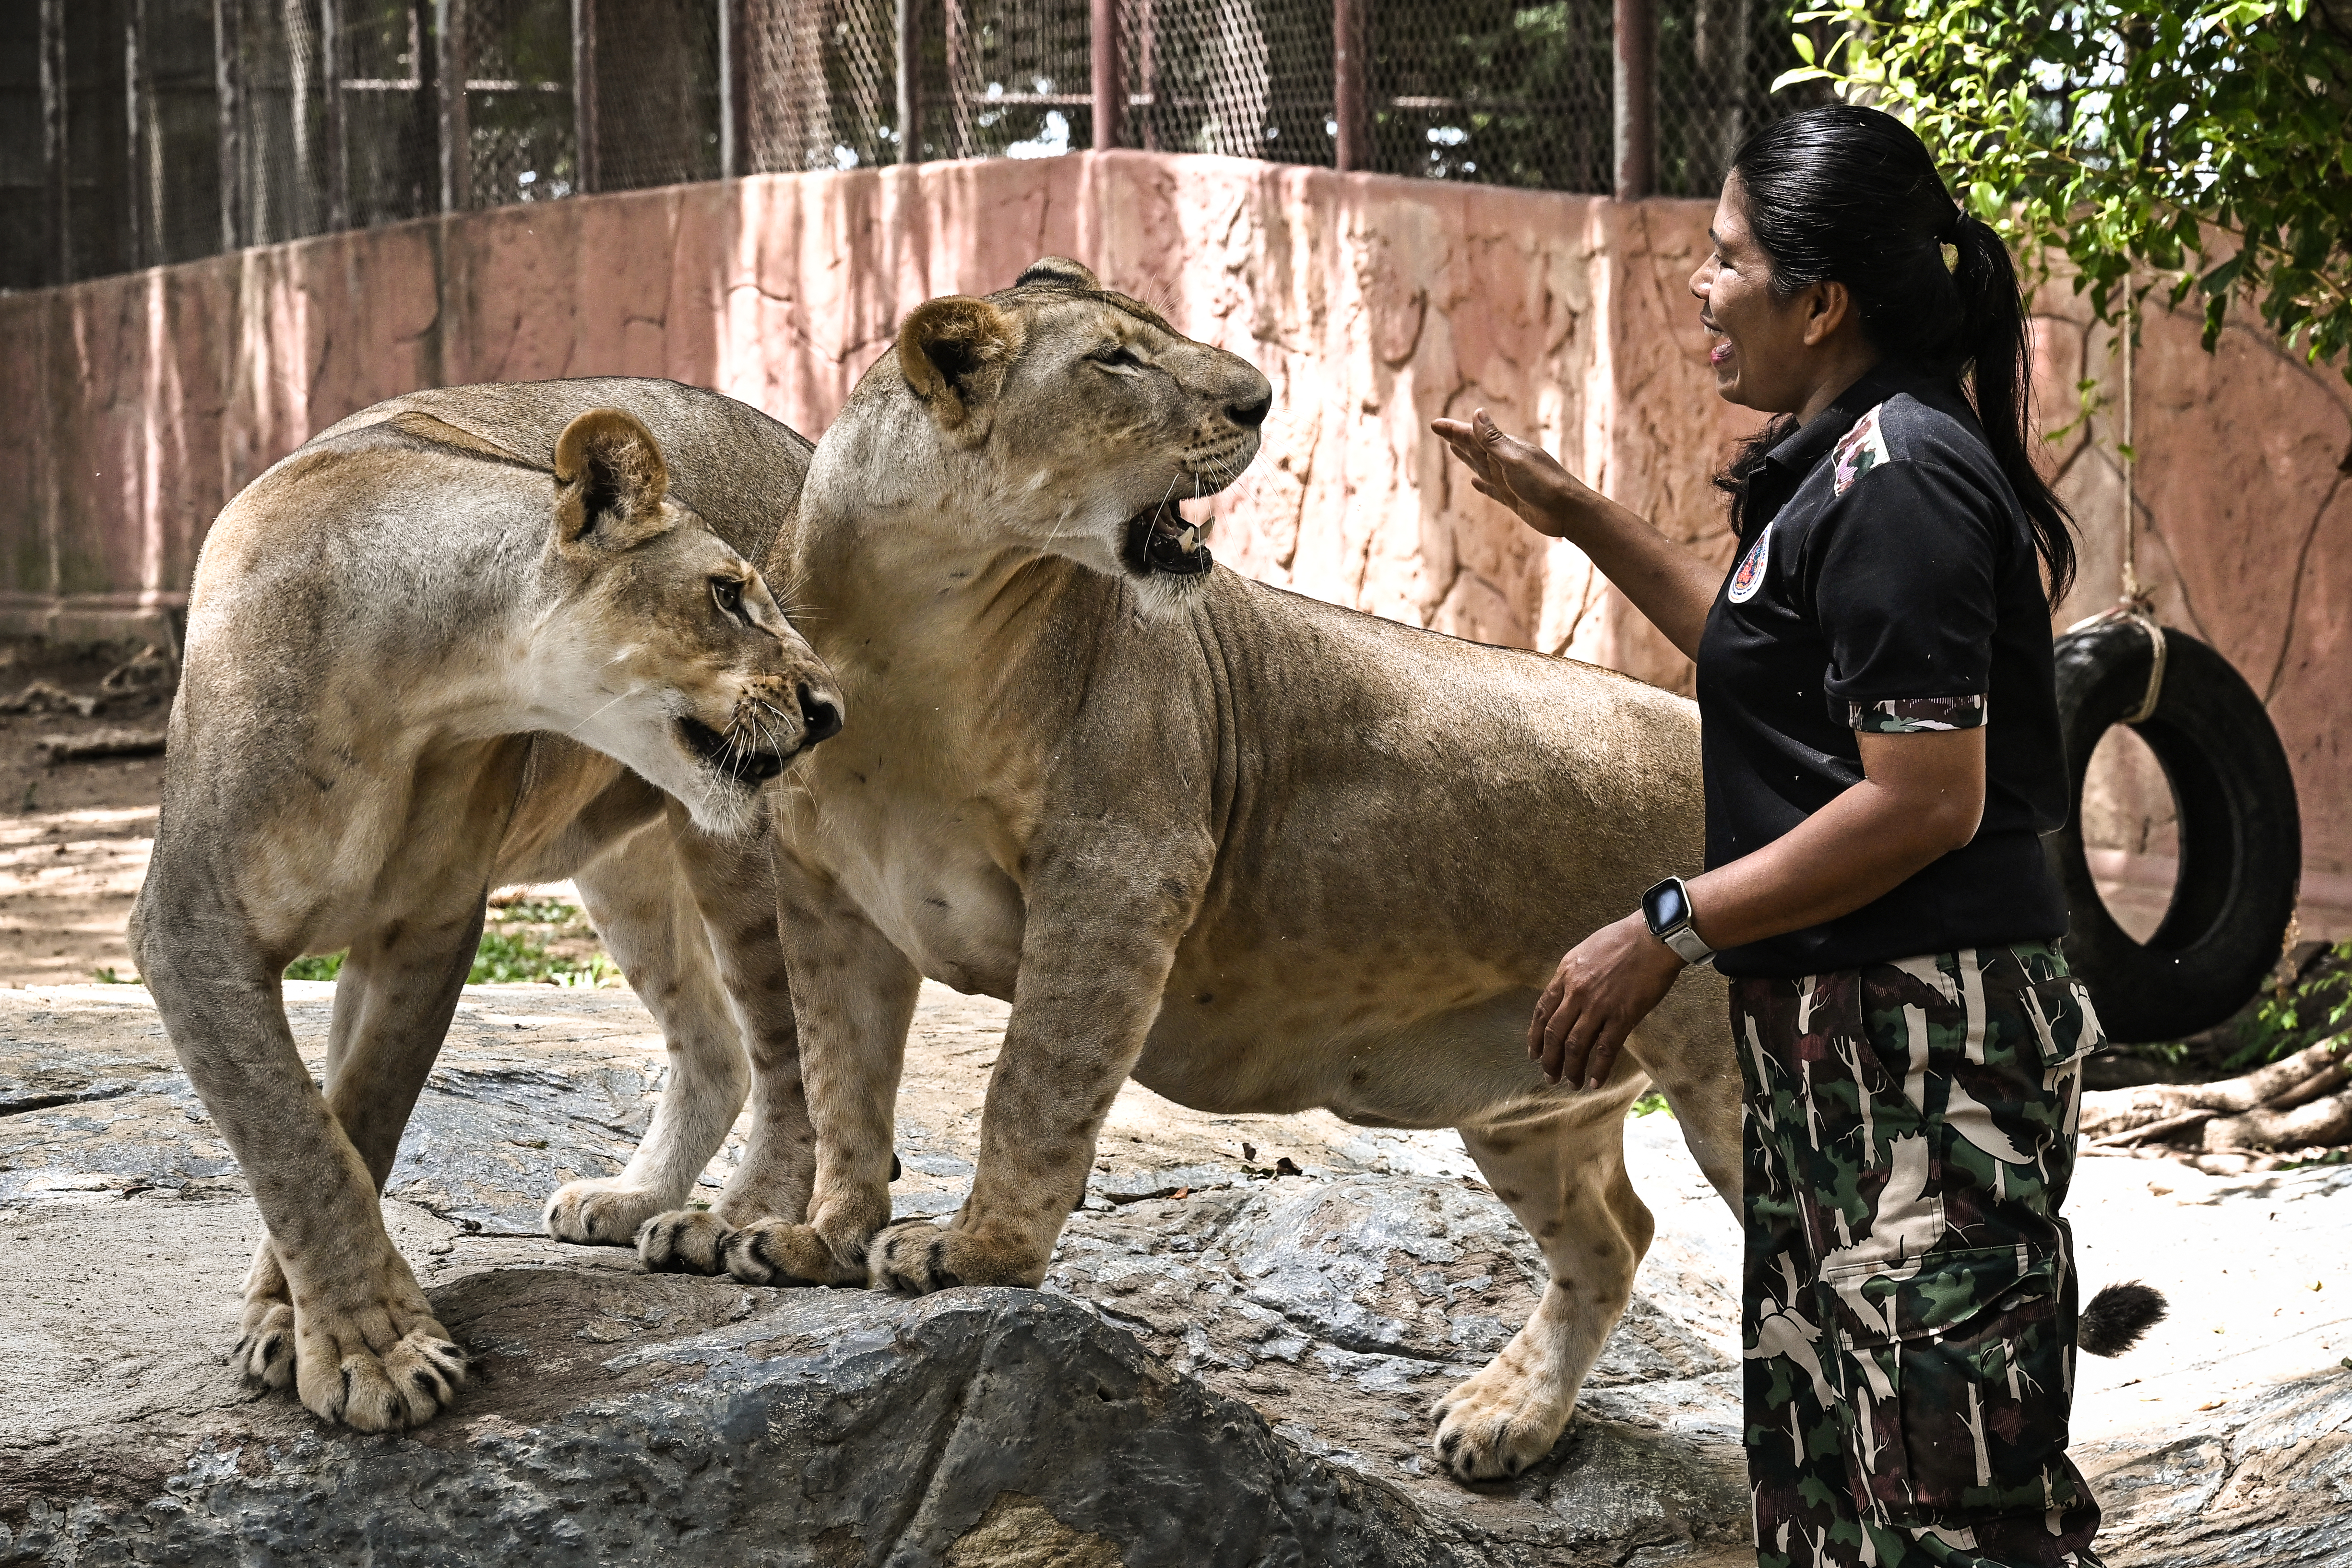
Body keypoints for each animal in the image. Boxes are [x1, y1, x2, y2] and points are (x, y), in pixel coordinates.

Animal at [128, 400, 844, 1432]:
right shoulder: (196, 929)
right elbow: (300, 1133)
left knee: (789, 1059)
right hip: (625, 870)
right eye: (725, 594)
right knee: (715, 1044)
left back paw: (735, 1221)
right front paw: (329, 1331)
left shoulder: (429, 925)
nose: (830, 708)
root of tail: (802, 440)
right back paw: (630, 1198)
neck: (424, 687)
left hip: (742, 853)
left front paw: (363, 1347)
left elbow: (355, 1120)